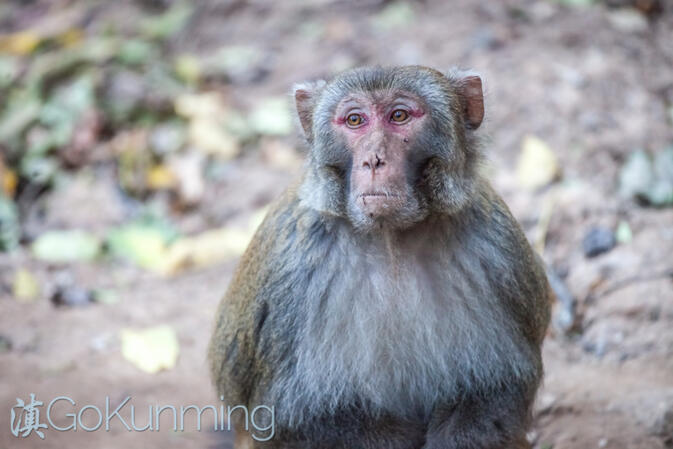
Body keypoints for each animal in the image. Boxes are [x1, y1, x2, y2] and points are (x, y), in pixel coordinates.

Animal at [209, 65, 551, 449]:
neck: (390, 241)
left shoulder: (496, 249)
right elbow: (287, 416)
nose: (373, 159)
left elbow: (498, 389)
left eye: (399, 116)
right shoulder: (290, 276)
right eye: (355, 120)